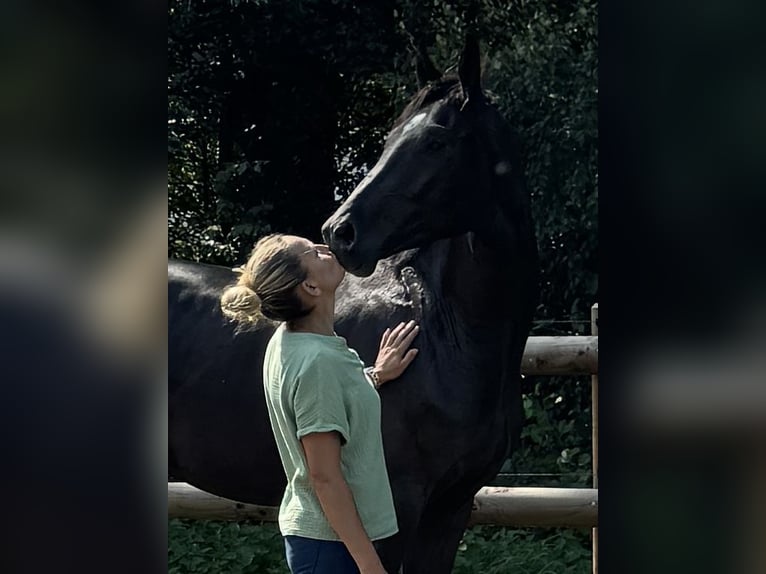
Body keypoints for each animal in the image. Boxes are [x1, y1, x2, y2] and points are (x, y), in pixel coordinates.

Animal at [170, 36, 540, 574]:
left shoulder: (452, 507)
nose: (339, 232)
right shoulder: (397, 507)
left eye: (436, 142)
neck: (448, 332)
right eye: (389, 140)